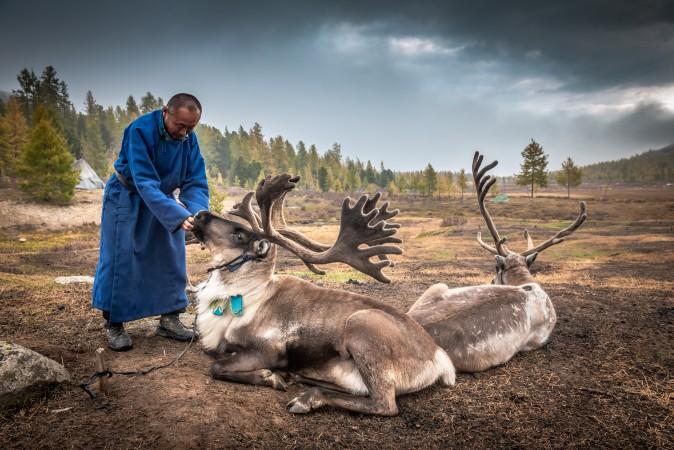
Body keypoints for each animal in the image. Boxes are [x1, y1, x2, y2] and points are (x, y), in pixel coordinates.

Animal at [190, 174, 455, 416]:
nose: (201, 214)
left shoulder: (268, 350)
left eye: (239, 234)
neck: (245, 295)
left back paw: (307, 399)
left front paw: (270, 377)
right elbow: (215, 354)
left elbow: (216, 367)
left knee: (385, 404)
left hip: (361, 325)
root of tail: (439, 357)